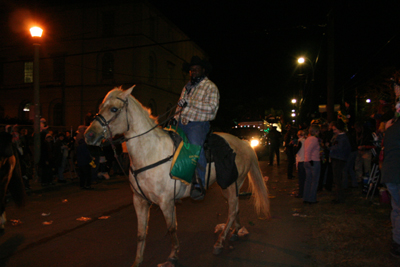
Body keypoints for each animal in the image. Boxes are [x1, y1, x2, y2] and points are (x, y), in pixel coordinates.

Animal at [85, 87, 270, 266]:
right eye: (100, 107)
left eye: (114, 109)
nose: (89, 135)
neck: (150, 153)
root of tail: (243, 143)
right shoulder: (139, 200)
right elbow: (140, 233)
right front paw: (137, 261)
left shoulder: (166, 201)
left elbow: (171, 228)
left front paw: (173, 256)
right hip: (230, 186)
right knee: (236, 208)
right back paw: (235, 232)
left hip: (231, 184)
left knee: (232, 210)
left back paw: (220, 242)